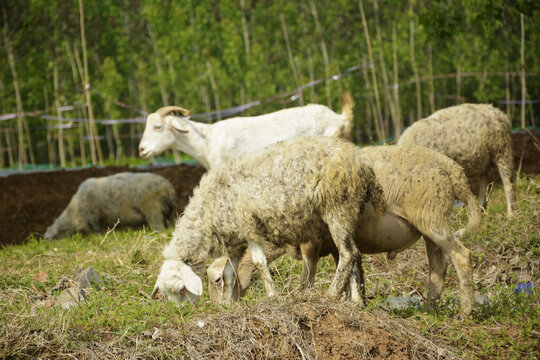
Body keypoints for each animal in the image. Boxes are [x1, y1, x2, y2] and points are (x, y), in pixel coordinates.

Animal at [44, 172, 176, 239]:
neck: (74, 213)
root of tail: (169, 188)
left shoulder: (92, 216)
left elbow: (95, 230)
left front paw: (97, 237)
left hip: (153, 208)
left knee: (158, 225)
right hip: (165, 210)